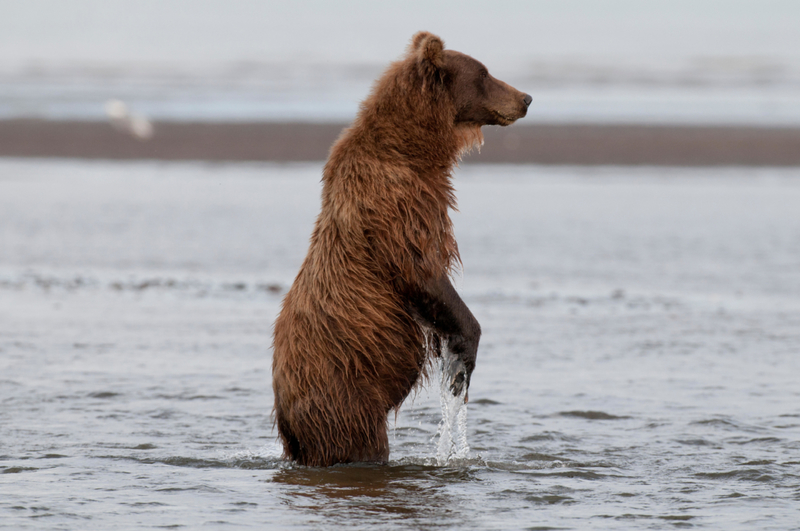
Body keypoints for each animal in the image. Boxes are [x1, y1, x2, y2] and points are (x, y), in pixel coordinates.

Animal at [270, 31, 532, 468]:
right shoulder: (396, 207)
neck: (414, 152)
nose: (526, 97)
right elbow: (421, 272)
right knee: (363, 443)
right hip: (346, 399)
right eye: (484, 73)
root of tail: (286, 419)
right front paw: (463, 359)